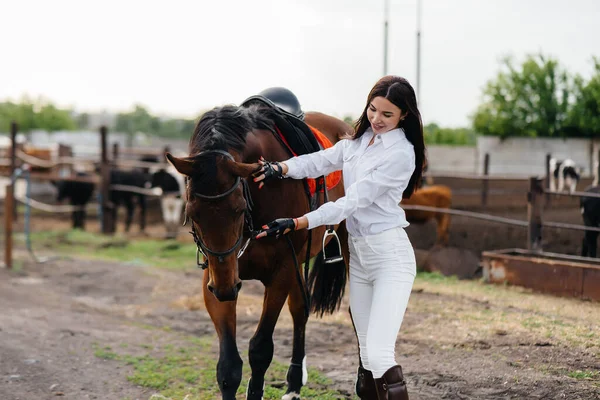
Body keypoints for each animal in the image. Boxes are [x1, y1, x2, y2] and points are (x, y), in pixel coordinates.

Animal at [166, 104, 350, 398]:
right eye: (192, 213)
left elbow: (261, 349)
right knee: (300, 310)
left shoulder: (281, 272)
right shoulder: (217, 277)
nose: (226, 288)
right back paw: (294, 384)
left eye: (239, 208)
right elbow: (229, 366)